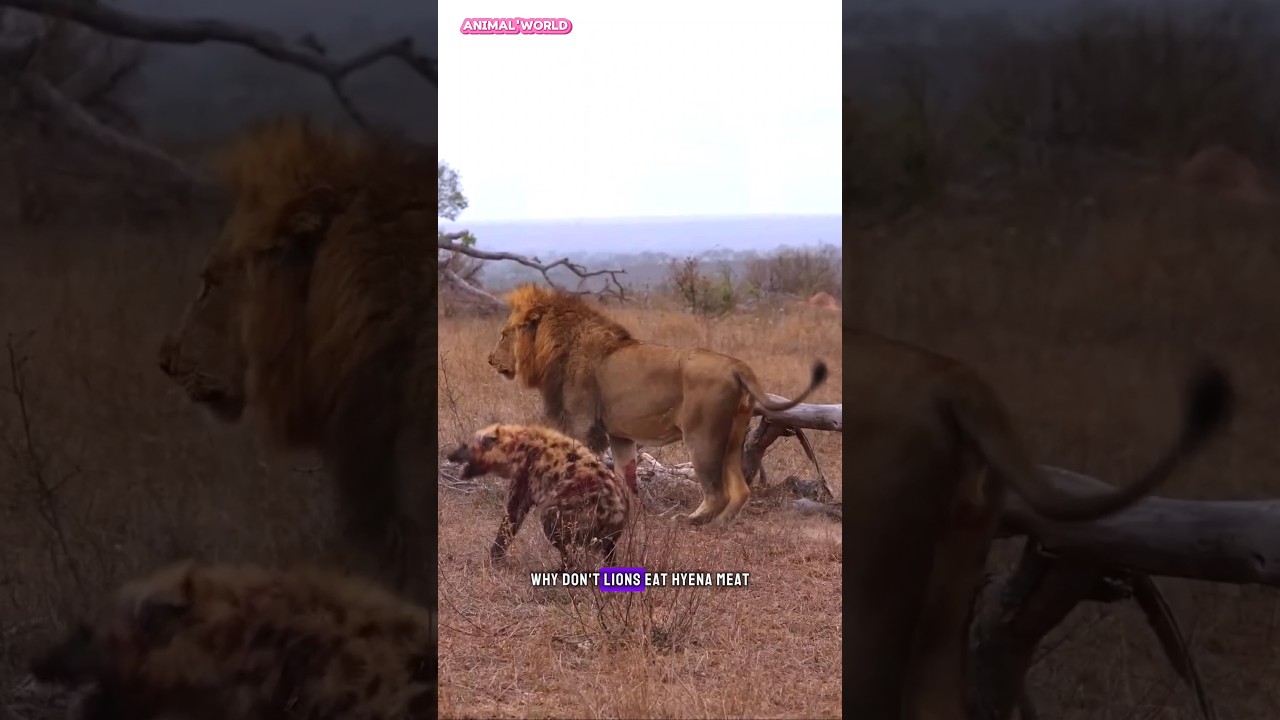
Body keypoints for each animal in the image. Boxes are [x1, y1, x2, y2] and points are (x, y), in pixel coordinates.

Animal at [487, 283, 828, 528]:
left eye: (503, 335)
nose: (490, 360)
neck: (555, 348)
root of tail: (738, 366)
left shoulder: (583, 426)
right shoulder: (619, 435)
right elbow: (626, 476)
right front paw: (632, 514)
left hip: (702, 437)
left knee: (716, 492)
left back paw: (689, 521)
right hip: (732, 438)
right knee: (740, 490)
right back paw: (718, 526)